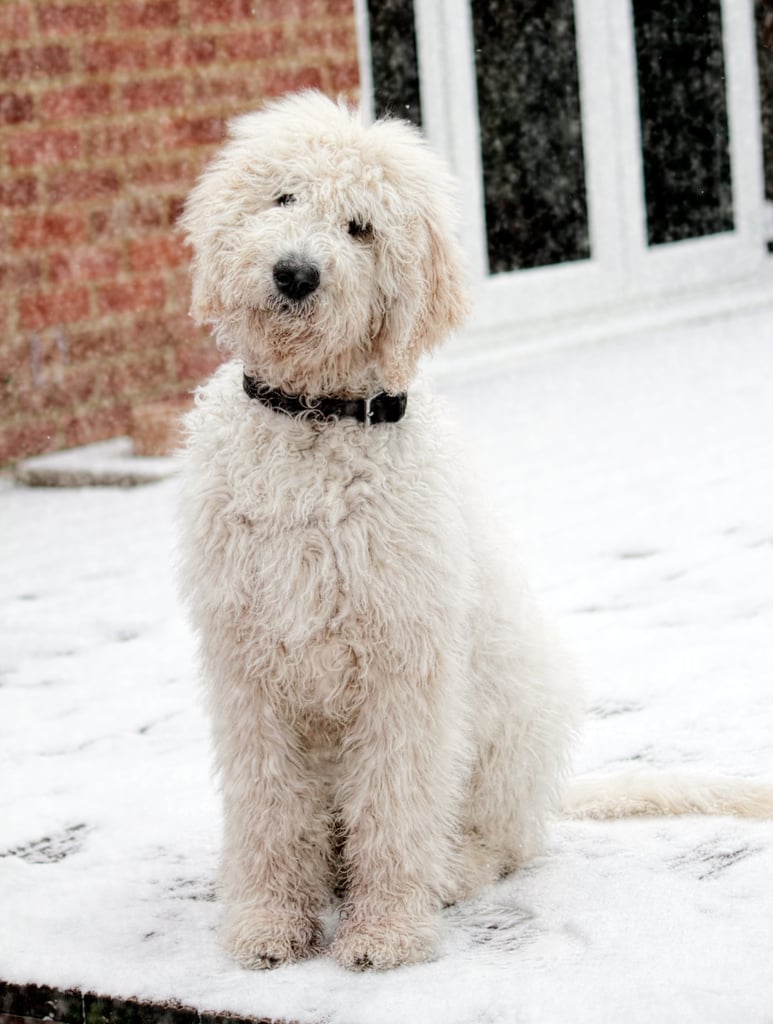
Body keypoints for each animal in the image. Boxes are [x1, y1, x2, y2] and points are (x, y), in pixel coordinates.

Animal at [177, 88, 773, 966]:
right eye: (282, 198)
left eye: (360, 226)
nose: (294, 273)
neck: (313, 422)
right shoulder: (248, 665)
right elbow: (268, 806)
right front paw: (268, 923)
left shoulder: (403, 665)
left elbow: (393, 804)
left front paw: (387, 930)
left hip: (518, 721)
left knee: (502, 842)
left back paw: (451, 868)